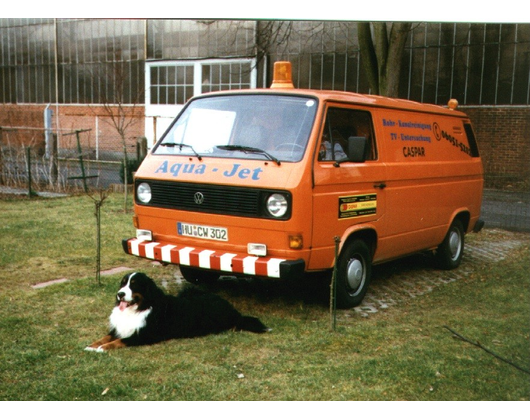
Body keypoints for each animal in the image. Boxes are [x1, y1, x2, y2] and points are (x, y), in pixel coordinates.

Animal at [85, 270, 268, 352]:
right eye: (123, 283)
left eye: (134, 285)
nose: (120, 294)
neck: (140, 307)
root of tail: (231, 307)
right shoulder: (120, 328)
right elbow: (106, 336)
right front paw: (91, 345)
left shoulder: (143, 335)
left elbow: (117, 341)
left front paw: (101, 348)